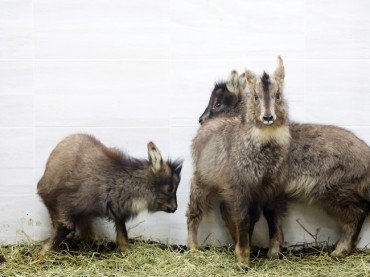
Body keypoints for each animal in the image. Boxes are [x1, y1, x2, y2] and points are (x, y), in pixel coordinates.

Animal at [37, 134, 182, 254]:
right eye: (170, 188)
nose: (174, 208)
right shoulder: (66, 206)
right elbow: (63, 229)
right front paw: (41, 257)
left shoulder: (116, 210)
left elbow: (122, 234)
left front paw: (124, 251)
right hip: (52, 204)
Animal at [188, 56, 290, 268]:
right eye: (255, 97)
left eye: (218, 103)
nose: (201, 119)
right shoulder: (240, 189)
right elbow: (243, 218)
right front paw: (243, 259)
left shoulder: (264, 192)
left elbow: (259, 218)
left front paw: (252, 250)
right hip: (202, 181)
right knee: (194, 212)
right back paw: (193, 247)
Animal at [201, 67, 370, 258]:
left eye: (218, 104)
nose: (201, 120)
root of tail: (366, 157)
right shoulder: (274, 194)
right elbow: (273, 218)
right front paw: (273, 250)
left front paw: (265, 250)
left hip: (335, 191)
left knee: (357, 213)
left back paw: (340, 250)